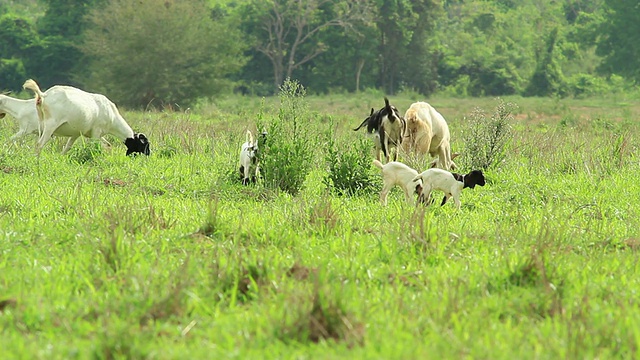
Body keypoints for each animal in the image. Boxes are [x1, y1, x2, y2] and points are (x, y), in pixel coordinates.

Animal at [21, 79, 149, 155]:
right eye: (144, 144)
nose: (148, 155)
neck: (113, 116)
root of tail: (44, 95)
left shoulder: (78, 134)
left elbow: (68, 147)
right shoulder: (96, 132)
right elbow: (97, 146)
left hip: (41, 125)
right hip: (51, 125)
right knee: (39, 144)